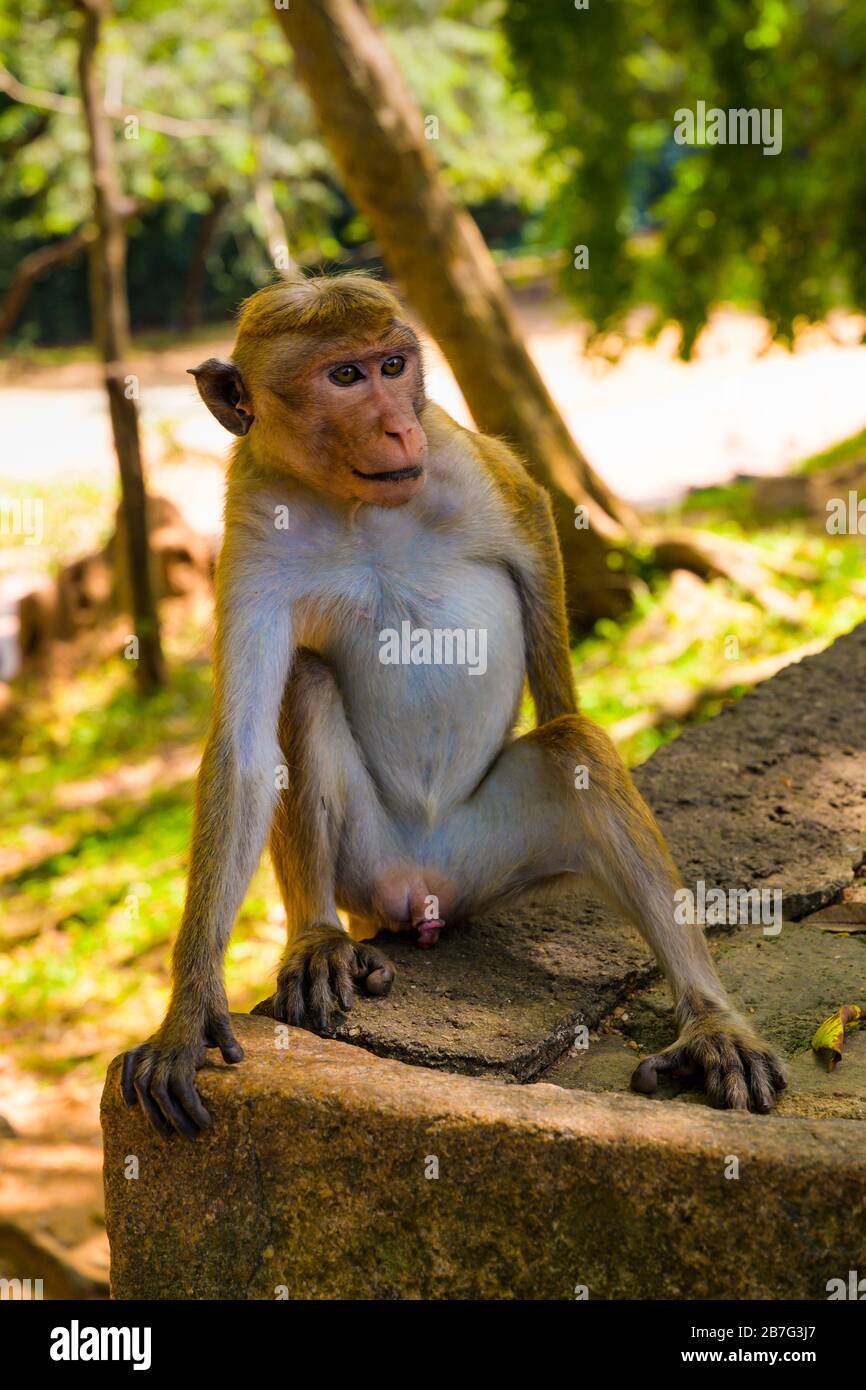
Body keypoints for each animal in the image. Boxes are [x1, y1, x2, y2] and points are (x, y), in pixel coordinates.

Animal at [121, 271, 785, 1138]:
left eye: (393, 365)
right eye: (345, 376)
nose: (397, 426)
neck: (352, 503)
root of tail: (424, 890)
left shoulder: (456, 456)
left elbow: (536, 523)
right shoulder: (252, 515)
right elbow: (242, 750)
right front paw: (189, 1008)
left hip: (496, 856)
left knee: (573, 751)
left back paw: (711, 1024)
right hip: (371, 863)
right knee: (304, 683)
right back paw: (319, 937)